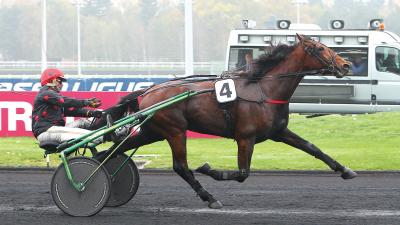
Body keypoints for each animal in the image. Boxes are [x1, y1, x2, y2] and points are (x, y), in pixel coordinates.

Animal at [97, 33, 356, 209]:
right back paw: (210, 198)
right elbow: (242, 173)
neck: (264, 90)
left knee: (109, 153)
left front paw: (345, 170)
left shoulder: (278, 132)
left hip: (153, 131)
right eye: (320, 48)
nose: (346, 65)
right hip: (175, 130)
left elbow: (313, 148)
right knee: (181, 167)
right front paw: (209, 169)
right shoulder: (245, 137)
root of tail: (148, 91)